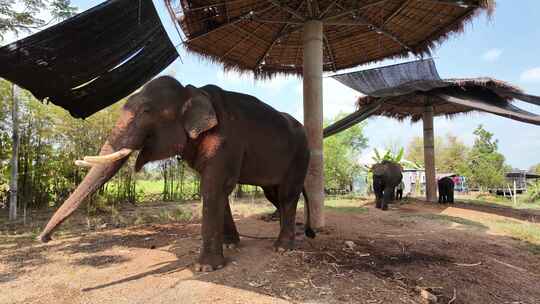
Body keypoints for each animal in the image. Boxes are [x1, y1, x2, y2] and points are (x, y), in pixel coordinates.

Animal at [38, 75, 314, 270]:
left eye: (146, 111)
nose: (44, 240)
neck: (194, 91)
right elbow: (217, 189)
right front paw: (231, 245)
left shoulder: (227, 139)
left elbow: (214, 187)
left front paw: (206, 268)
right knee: (275, 195)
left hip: (300, 155)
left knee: (288, 195)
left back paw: (282, 248)